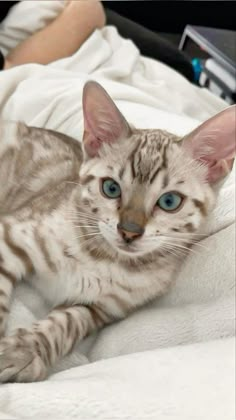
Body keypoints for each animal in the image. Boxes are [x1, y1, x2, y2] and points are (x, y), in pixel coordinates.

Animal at [0, 80, 234, 382]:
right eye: (110, 188)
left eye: (170, 202)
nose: (129, 231)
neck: (105, 258)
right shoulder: (11, 233)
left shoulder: (100, 309)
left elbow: (66, 323)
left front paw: (24, 351)